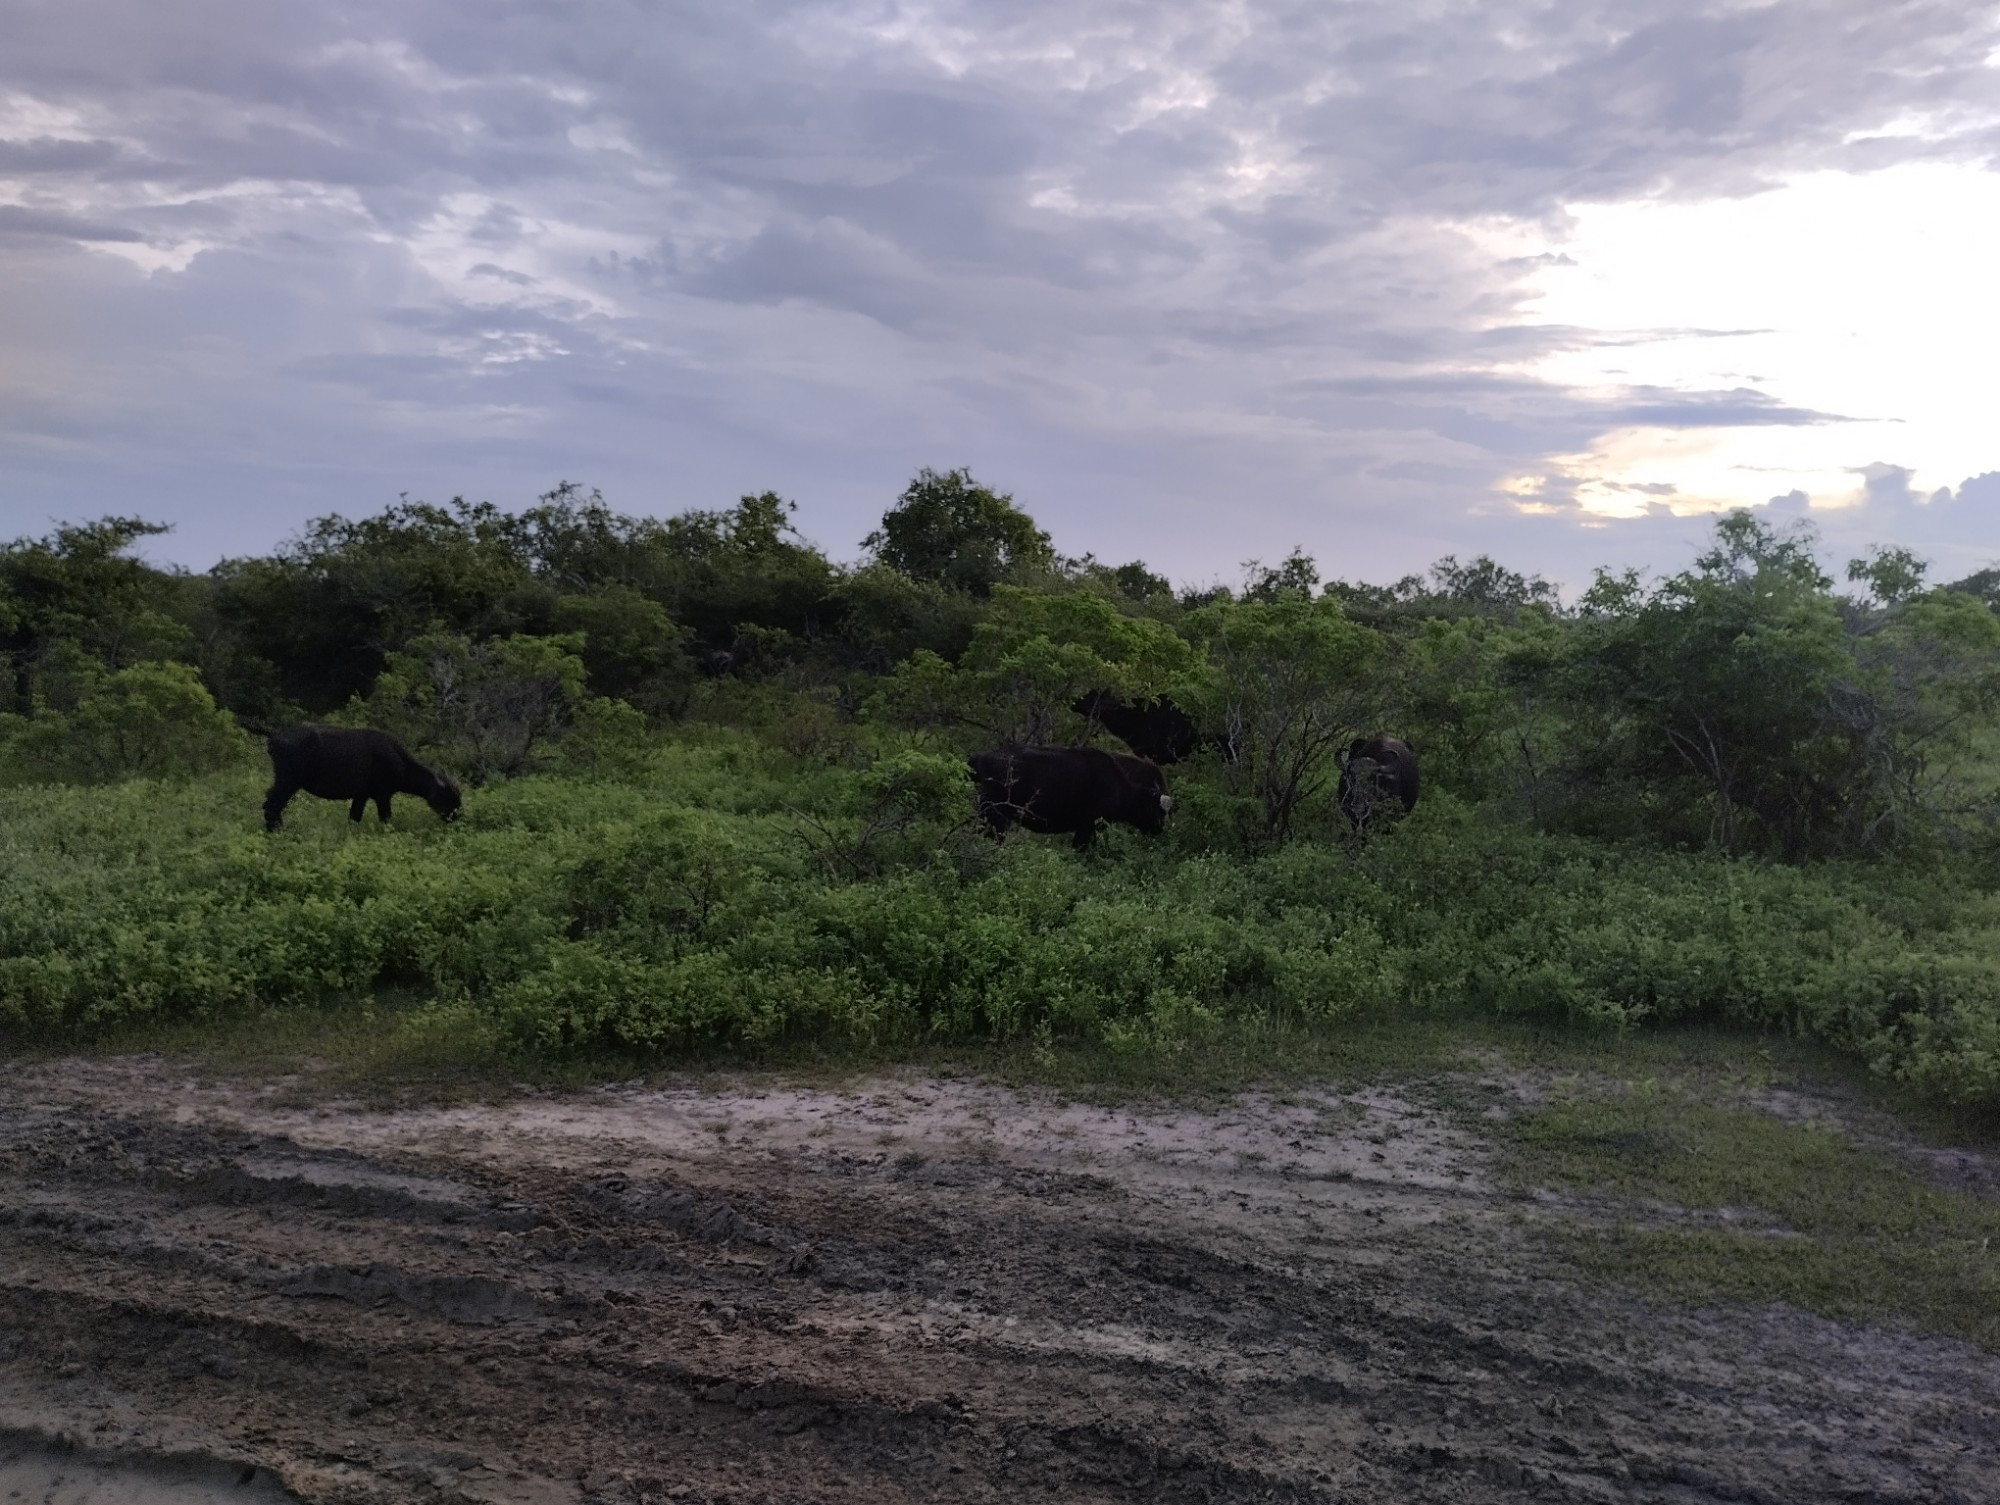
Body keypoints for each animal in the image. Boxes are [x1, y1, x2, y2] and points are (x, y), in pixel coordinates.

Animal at [264, 724, 462, 836]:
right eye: (449, 798)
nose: (458, 817)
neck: (400, 761)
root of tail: (275, 736)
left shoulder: (361, 796)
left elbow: (354, 817)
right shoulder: (383, 796)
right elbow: (386, 818)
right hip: (288, 782)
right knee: (273, 805)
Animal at [968, 748, 1168, 852]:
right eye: (1154, 807)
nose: (1159, 829)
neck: (1119, 786)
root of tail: (980, 759)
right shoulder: (1086, 826)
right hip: (995, 815)